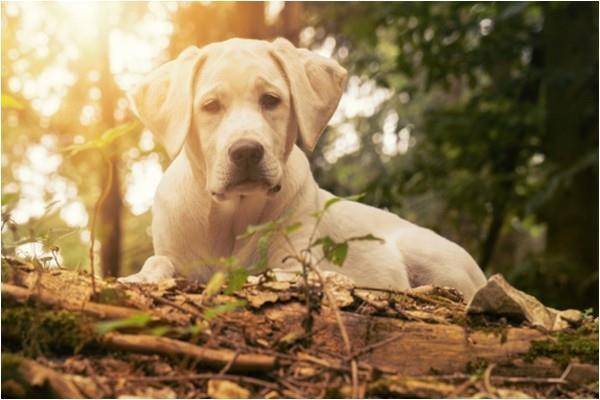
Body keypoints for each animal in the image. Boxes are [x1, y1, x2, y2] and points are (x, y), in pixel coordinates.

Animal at [118, 38, 488, 300]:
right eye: (210, 105)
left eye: (271, 100)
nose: (246, 152)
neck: (233, 216)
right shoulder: (175, 252)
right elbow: (158, 262)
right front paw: (141, 276)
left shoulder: (295, 259)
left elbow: (275, 273)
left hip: (427, 253)